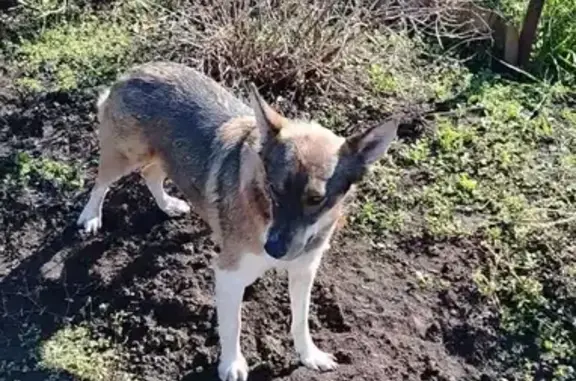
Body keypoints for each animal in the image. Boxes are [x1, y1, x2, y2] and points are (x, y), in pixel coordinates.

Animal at [79, 61, 398, 380]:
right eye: (274, 188)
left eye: (316, 199)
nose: (274, 250)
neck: (265, 213)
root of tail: (135, 71)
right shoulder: (228, 274)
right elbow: (233, 326)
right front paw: (232, 364)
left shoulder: (304, 270)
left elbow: (301, 320)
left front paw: (309, 355)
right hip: (124, 156)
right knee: (101, 183)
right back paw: (91, 217)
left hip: (161, 158)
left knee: (151, 174)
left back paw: (168, 204)